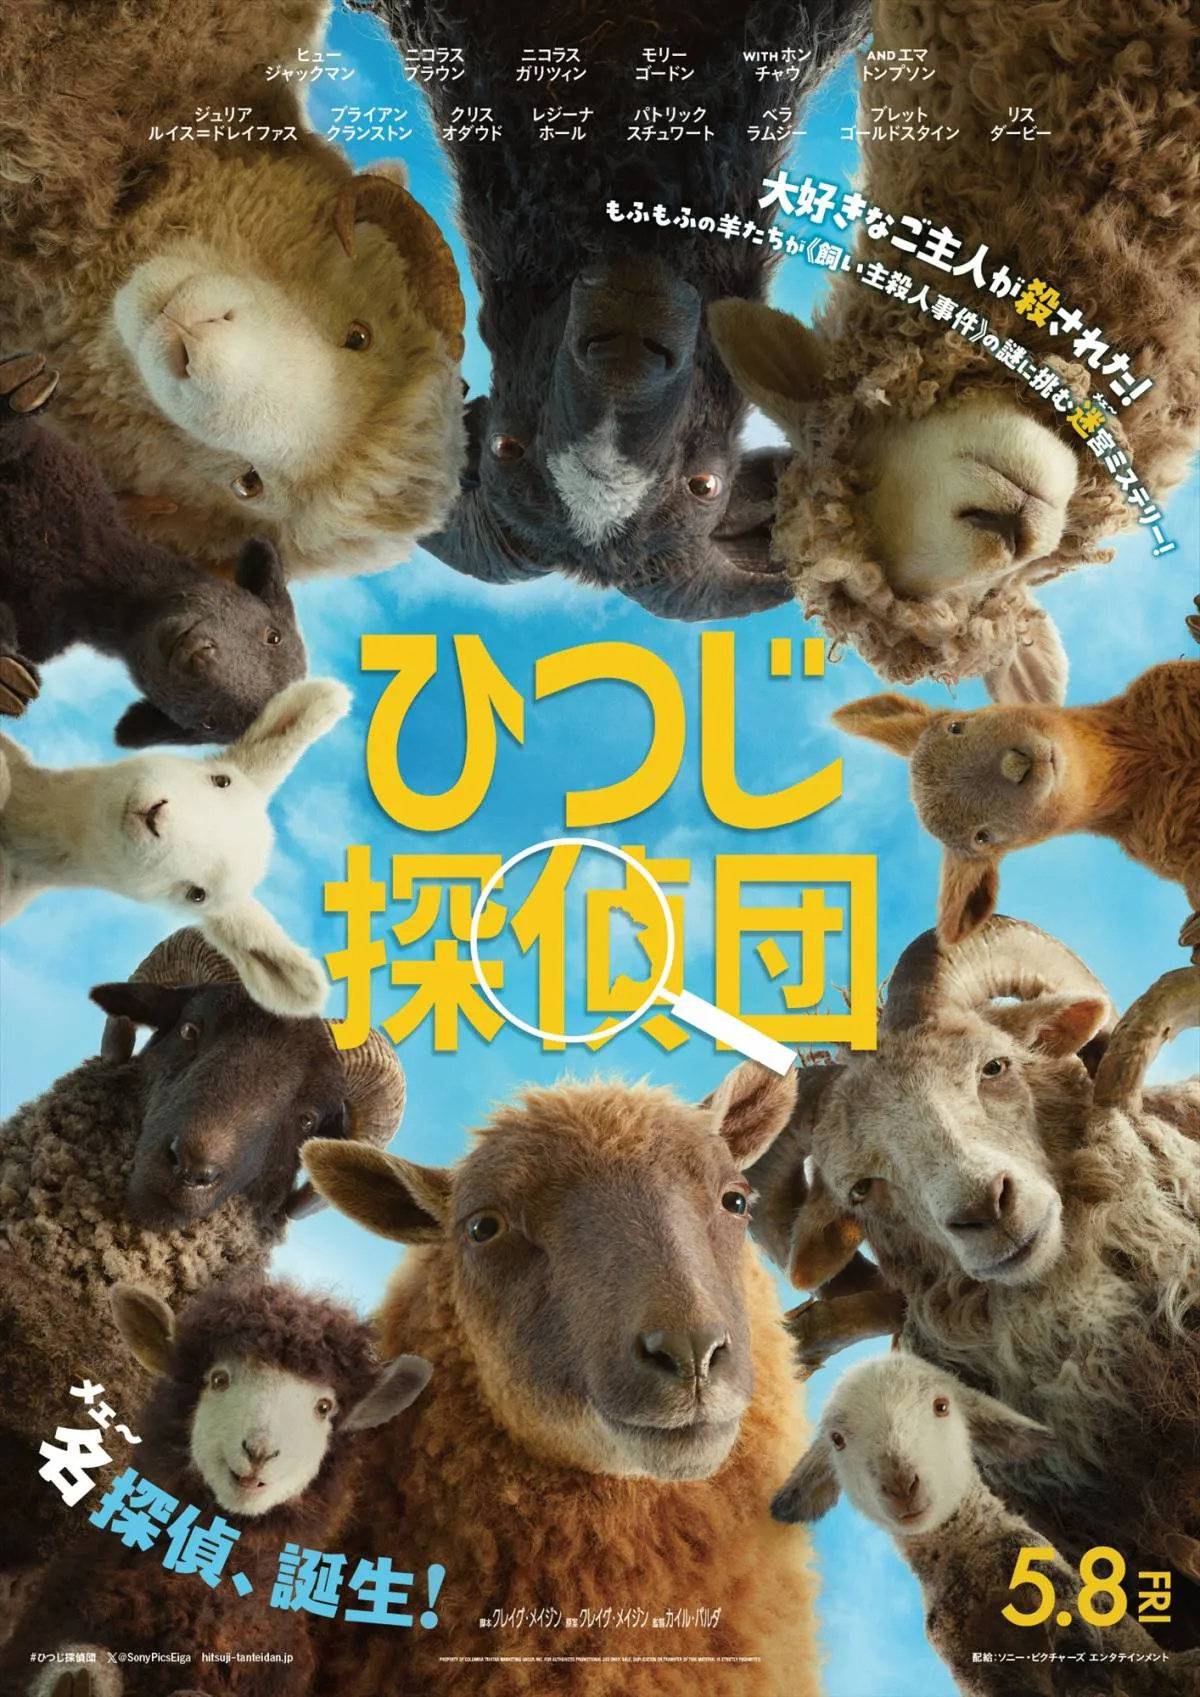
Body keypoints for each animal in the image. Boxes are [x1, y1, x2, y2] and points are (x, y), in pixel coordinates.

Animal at [0, 350, 307, 746]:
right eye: (272, 635)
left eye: (208, 724)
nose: (197, 658)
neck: (86, 568)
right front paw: (14, 391)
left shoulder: (38, 628)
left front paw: (4, 677)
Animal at [774, 1355, 1200, 1697]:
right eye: (837, 1440)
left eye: (941, 1406)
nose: (901, 1486)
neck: (972, 1561)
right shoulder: (968, 1662)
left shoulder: (1055, 1582)